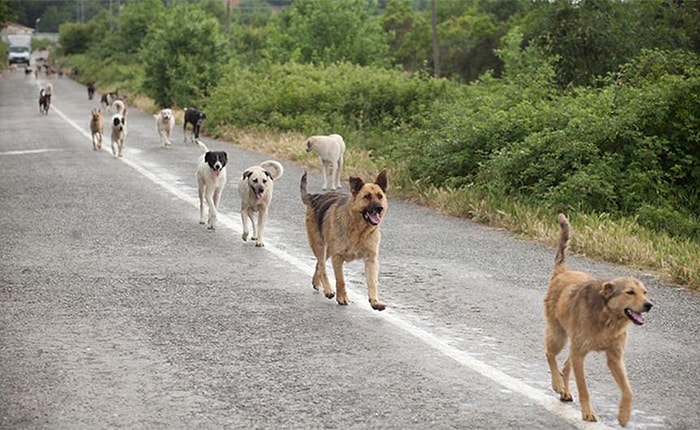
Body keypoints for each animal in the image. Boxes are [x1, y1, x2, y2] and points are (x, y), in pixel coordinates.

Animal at [300, 170, 392, 310]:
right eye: (367, 196)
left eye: (380, 196)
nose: (379, 208)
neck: (359, 231)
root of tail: (315, 197)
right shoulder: (337, 258)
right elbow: (341, 280)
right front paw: (342, 297)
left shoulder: (371, 259)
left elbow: (372, 282)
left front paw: (375, 301)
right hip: (320, 246)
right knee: (322, 266)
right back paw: (328, 289)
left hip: (327, 250)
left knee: (318, 264)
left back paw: (316, 282)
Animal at [544, 214, 652, 426]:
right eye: (630, 292)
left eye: (644, 292)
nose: (649, 305)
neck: (608, 318)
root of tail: (562, 271)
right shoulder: (580, 353)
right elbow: (584, 389)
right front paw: (587, 413)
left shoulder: (615, 358)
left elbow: (628, 390)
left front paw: (624, 415)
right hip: (559, 336)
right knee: (550, 354)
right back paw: (558, 384)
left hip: (572, 344)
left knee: (565, 365)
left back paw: (565, 390)